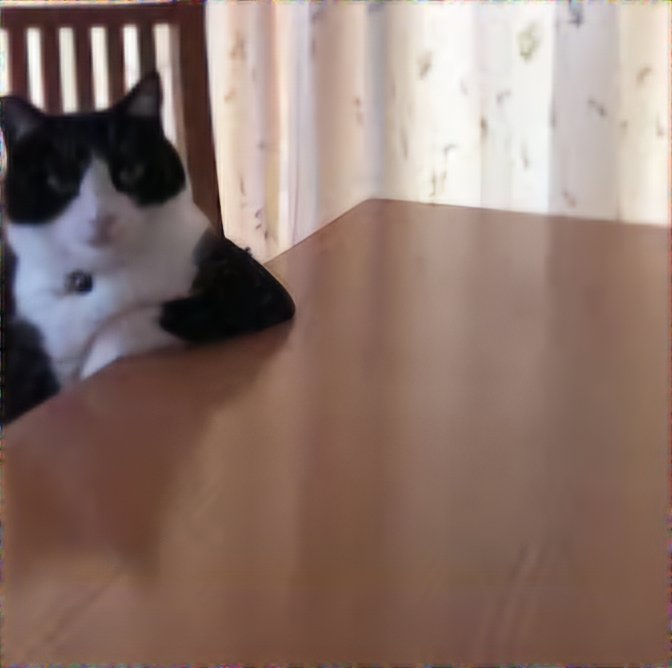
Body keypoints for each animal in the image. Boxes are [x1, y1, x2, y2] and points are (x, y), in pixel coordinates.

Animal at [1, 71, 295, 425]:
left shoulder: (252, 292)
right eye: (59, 181)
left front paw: (94, 361)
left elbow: (134, 321)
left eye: (131, 171)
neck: (97, 275)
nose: (102, 217)